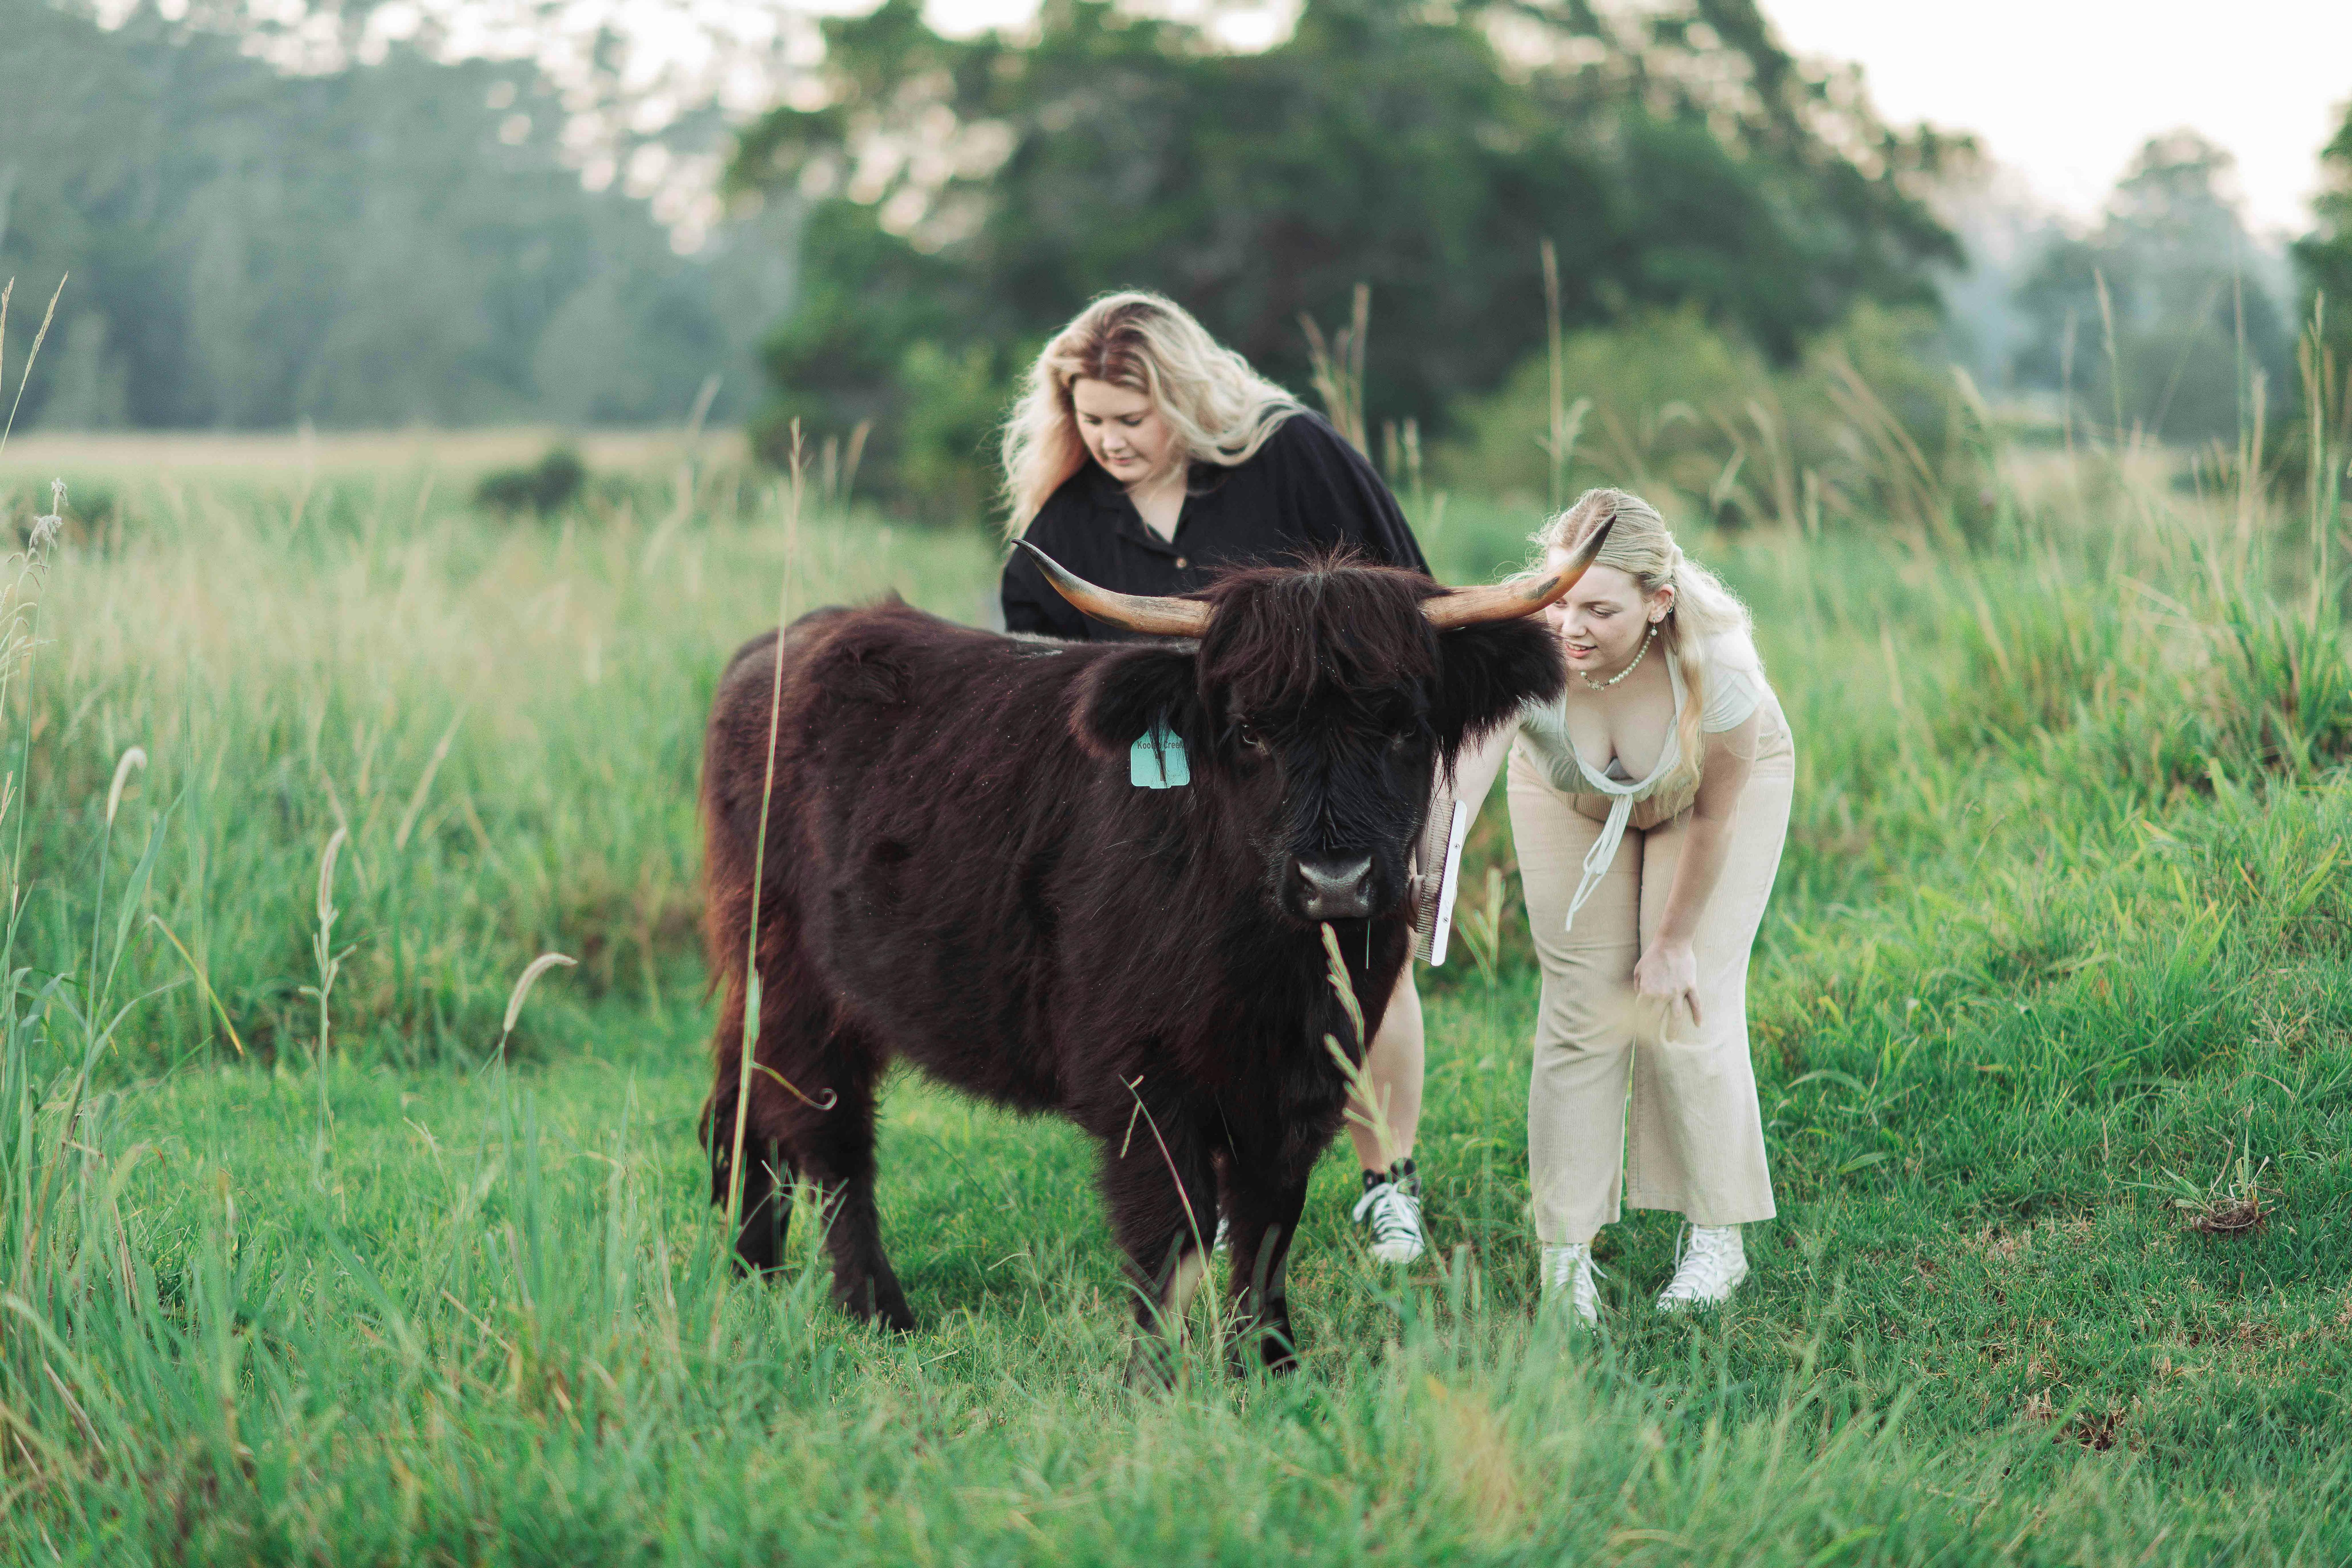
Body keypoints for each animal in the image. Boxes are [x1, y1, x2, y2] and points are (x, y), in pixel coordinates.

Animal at [699, 529, 1604, 1377]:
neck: (1269, 965)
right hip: (797, 979)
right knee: (827, 1132)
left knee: (745, 1105)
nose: (1335, 879)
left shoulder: (1308, 1071)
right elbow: (1174, 1227)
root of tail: (776, 648)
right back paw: (875, 1308)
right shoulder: (1139, 1076)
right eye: (1250, 730)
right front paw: (1154, 1377)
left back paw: (753, 1271)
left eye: (1404, 728)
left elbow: (1270, 1220)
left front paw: (1271, 1362)